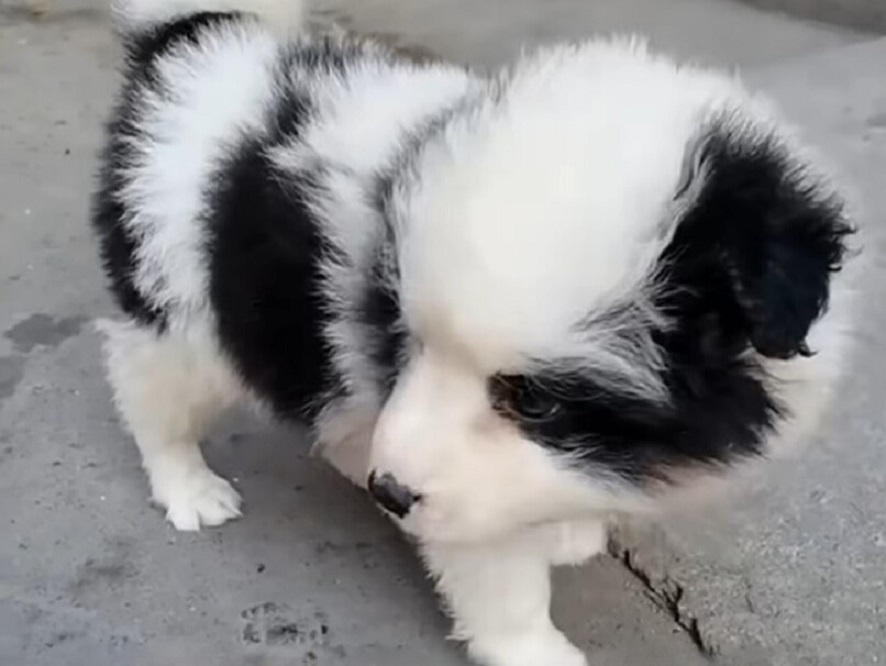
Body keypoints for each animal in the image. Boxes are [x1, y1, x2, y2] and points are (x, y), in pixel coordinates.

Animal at [90, 1, 852, 664]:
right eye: (410, 339)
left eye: (535, 399)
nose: (392, 492)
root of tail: (196, 39)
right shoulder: (464, 495)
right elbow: (503, 580)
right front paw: (533, 650)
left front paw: (566, 526)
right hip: (179, 304)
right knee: (148, 386)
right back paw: (188, 485)